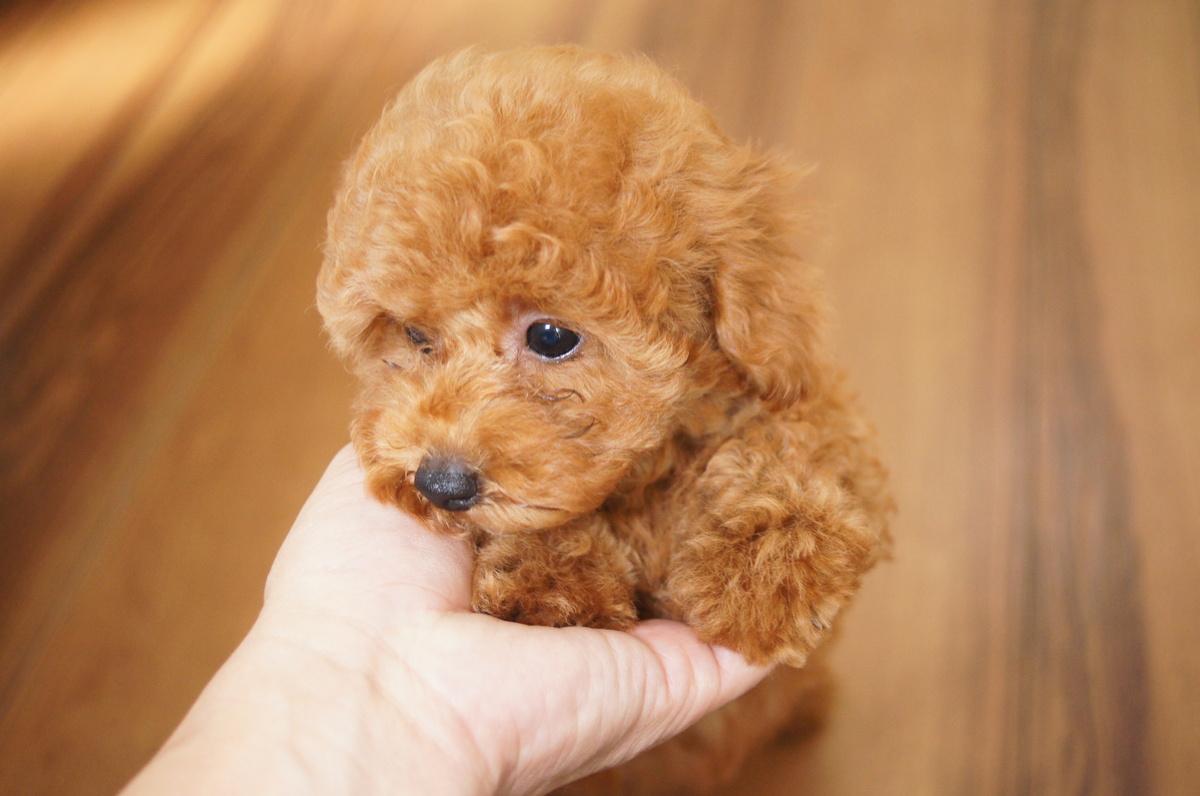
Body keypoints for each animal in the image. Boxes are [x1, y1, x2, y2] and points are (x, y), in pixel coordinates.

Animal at [319, 46, 892, 792]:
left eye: (551, 336)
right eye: (414, 336)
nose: (440, 485)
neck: (643, 472)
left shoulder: (813, 398)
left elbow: (801, 439)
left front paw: (765, 566)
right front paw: (550, 584)